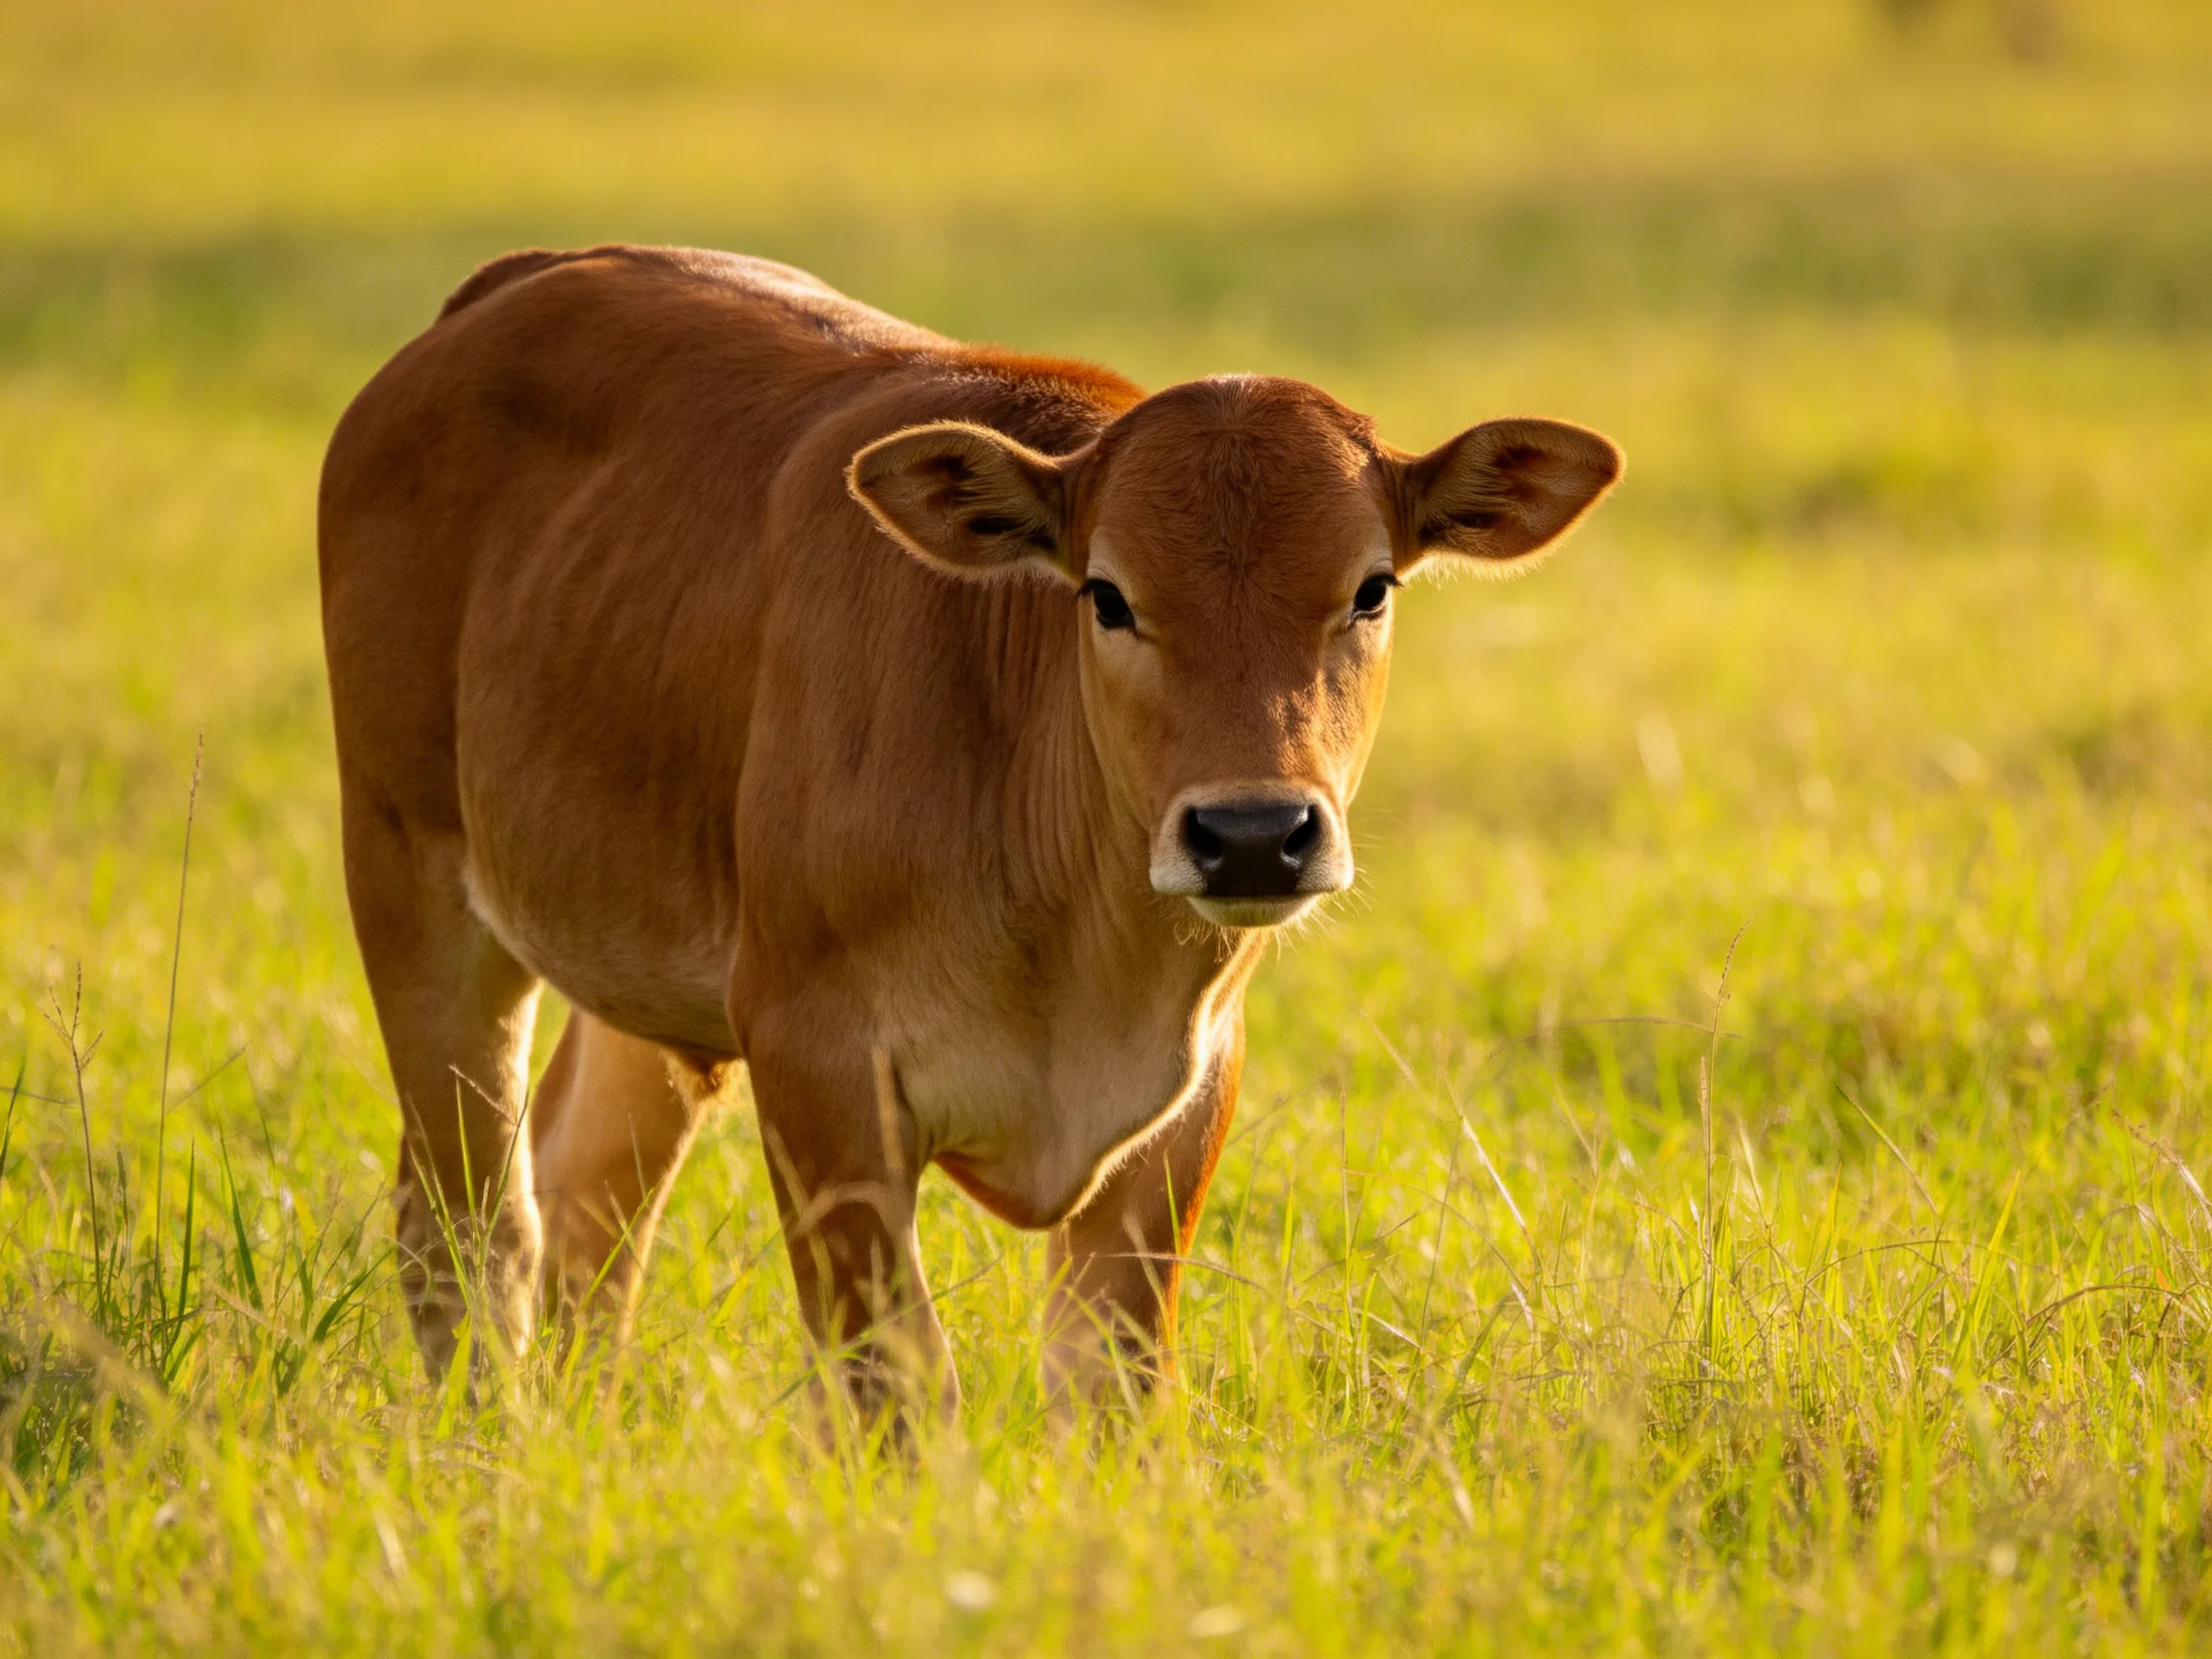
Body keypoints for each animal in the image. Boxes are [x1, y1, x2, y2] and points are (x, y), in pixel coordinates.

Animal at [318, 245, 1619, 1408]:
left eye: (1372, 588)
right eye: (1108, 595)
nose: (1254, 832)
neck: (1079, 959)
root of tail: (512, 284)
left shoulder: (1189, 1092)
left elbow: (1108, 1380)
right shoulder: (815, 1058)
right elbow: (895, 1380)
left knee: (586, 1198)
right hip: (409, 876)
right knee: (470, 1227)